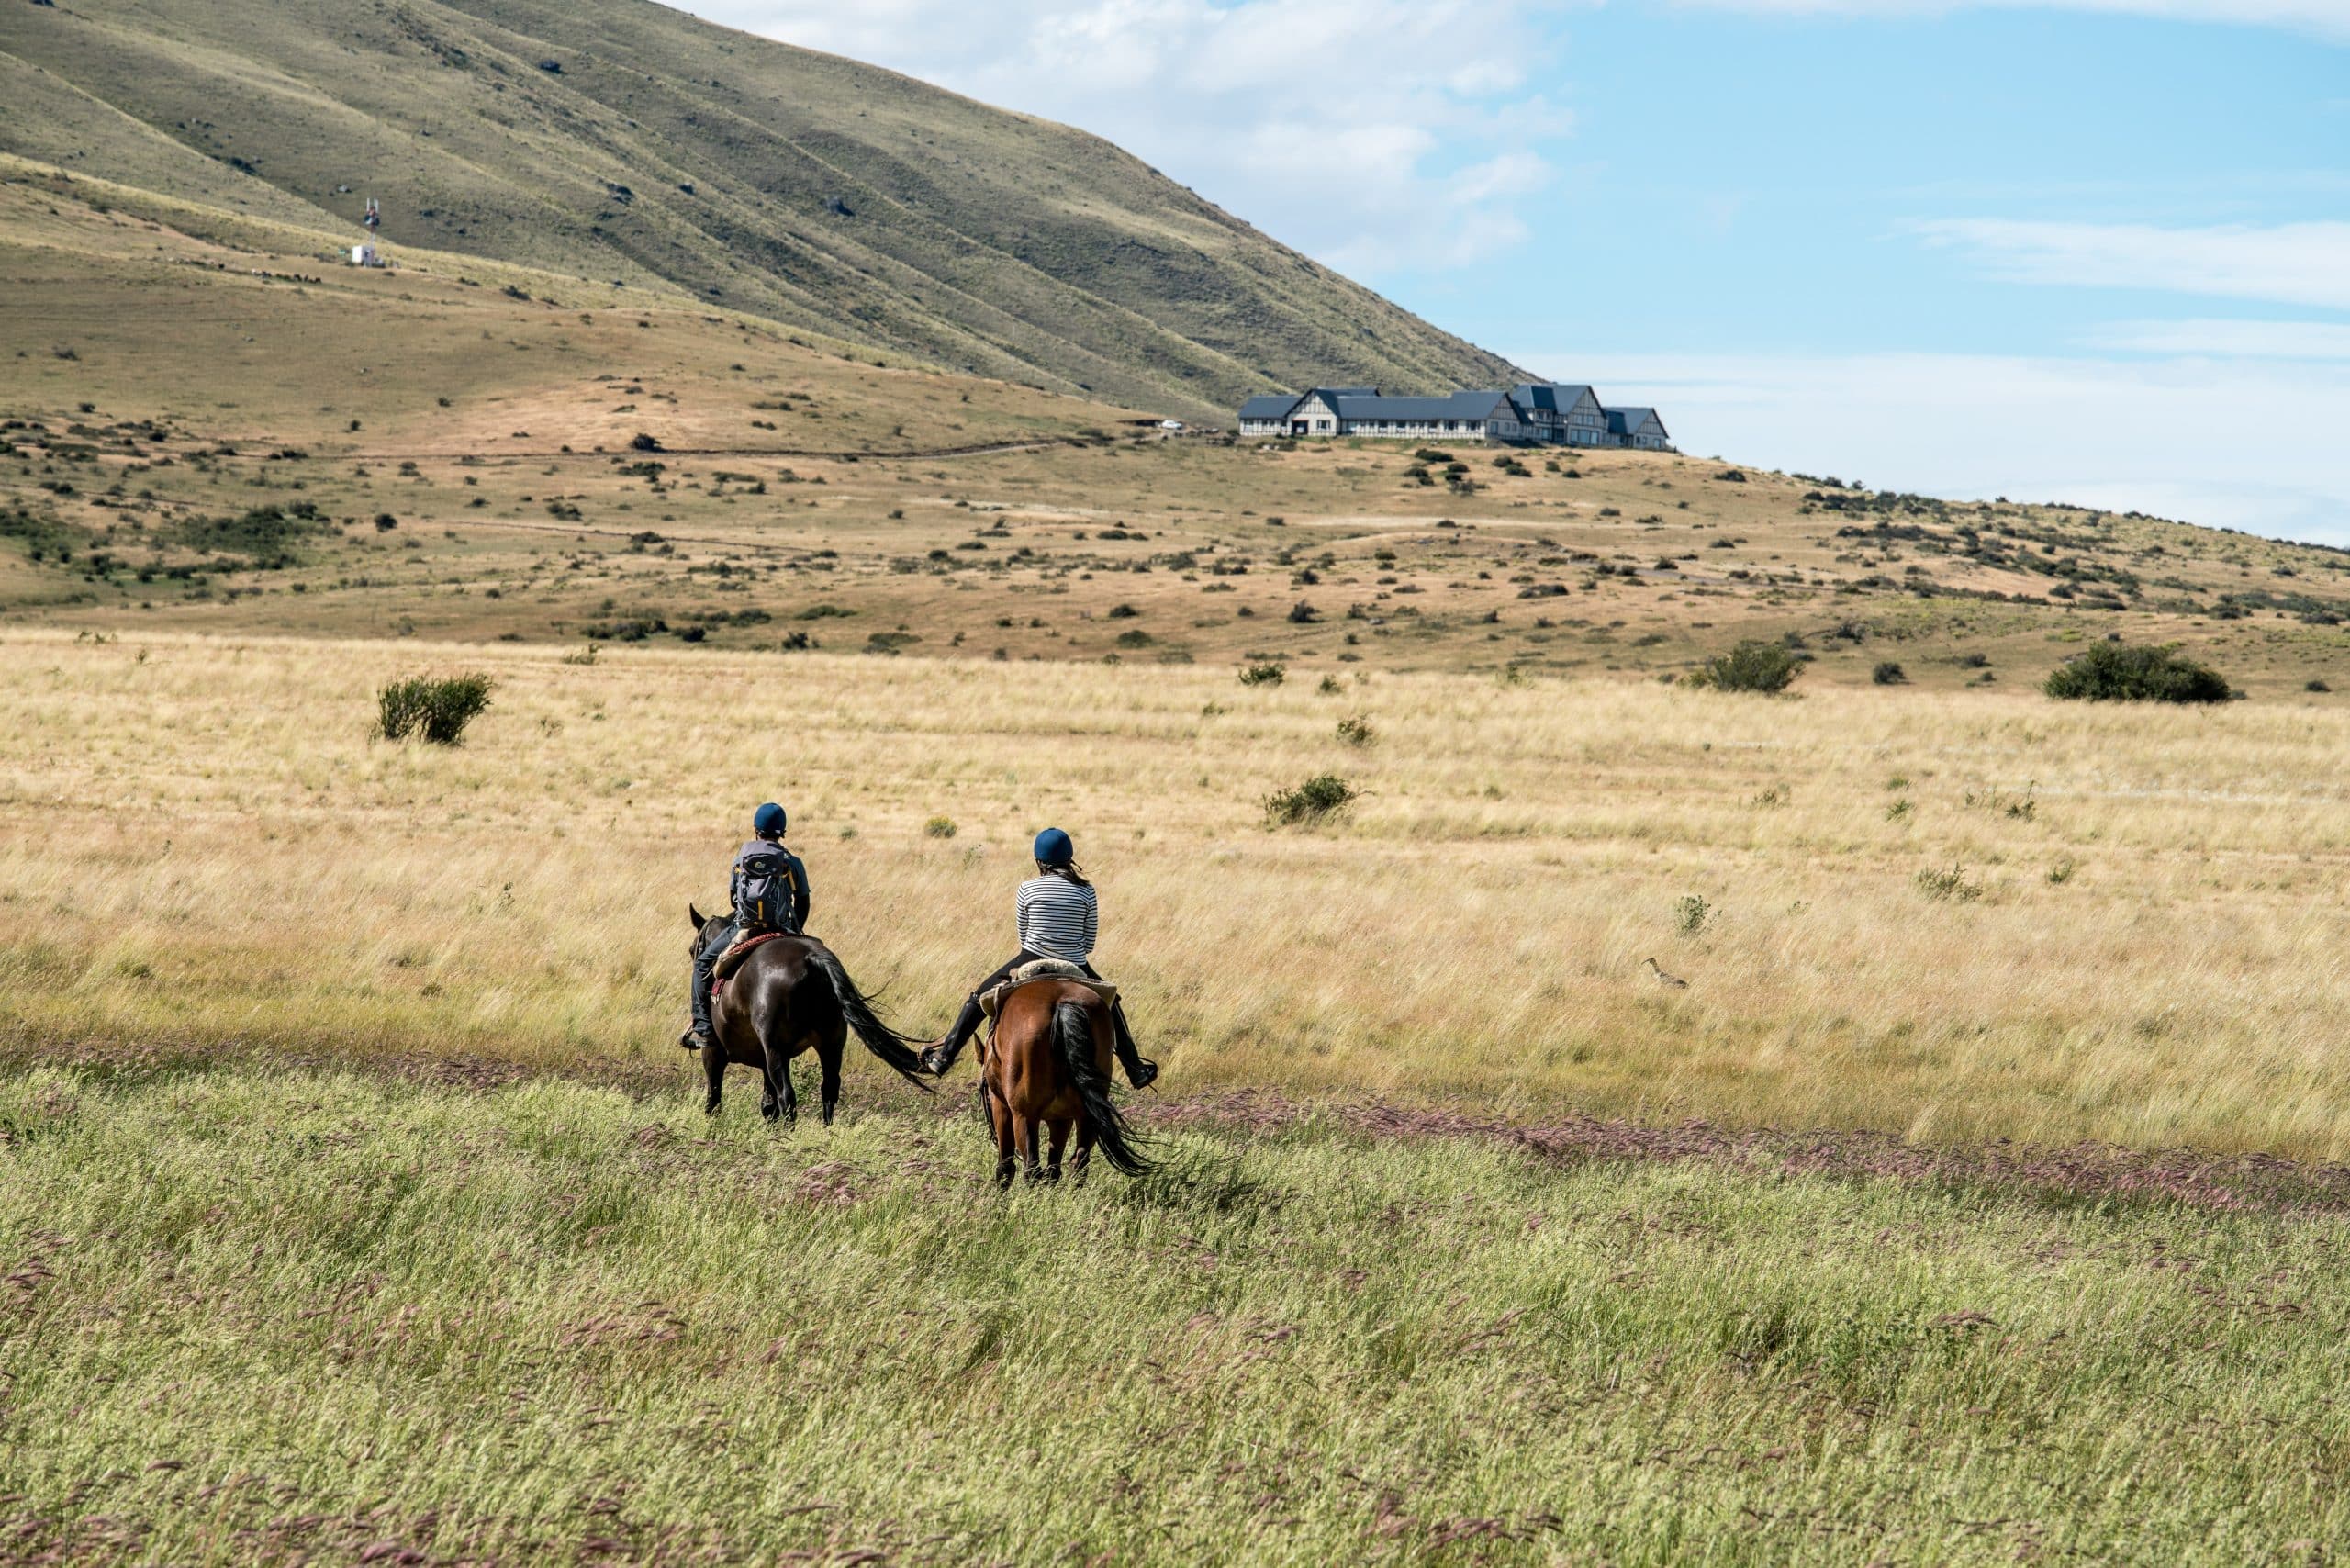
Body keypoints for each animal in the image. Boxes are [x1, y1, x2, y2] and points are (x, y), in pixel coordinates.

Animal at [686, 907, 930, 1128]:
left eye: (691, 950)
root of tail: (813, 959)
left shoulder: (713, 1052)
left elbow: (714, 1099)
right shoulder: (763, 1058)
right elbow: (767, 1104)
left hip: (776, 1050)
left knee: (787, 1095)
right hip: (831, 1044)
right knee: (829, 1089)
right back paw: (824, 1131)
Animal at [977, 982, 1151, 1189]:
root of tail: (1063, 1004)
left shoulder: (1001, 1107)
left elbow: (1005, 1167)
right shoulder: (1061, 1118)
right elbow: (1053, 1168)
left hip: (1024, 1116)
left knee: (1032, 1167)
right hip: (1089, 1114)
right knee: (1078, 1162)